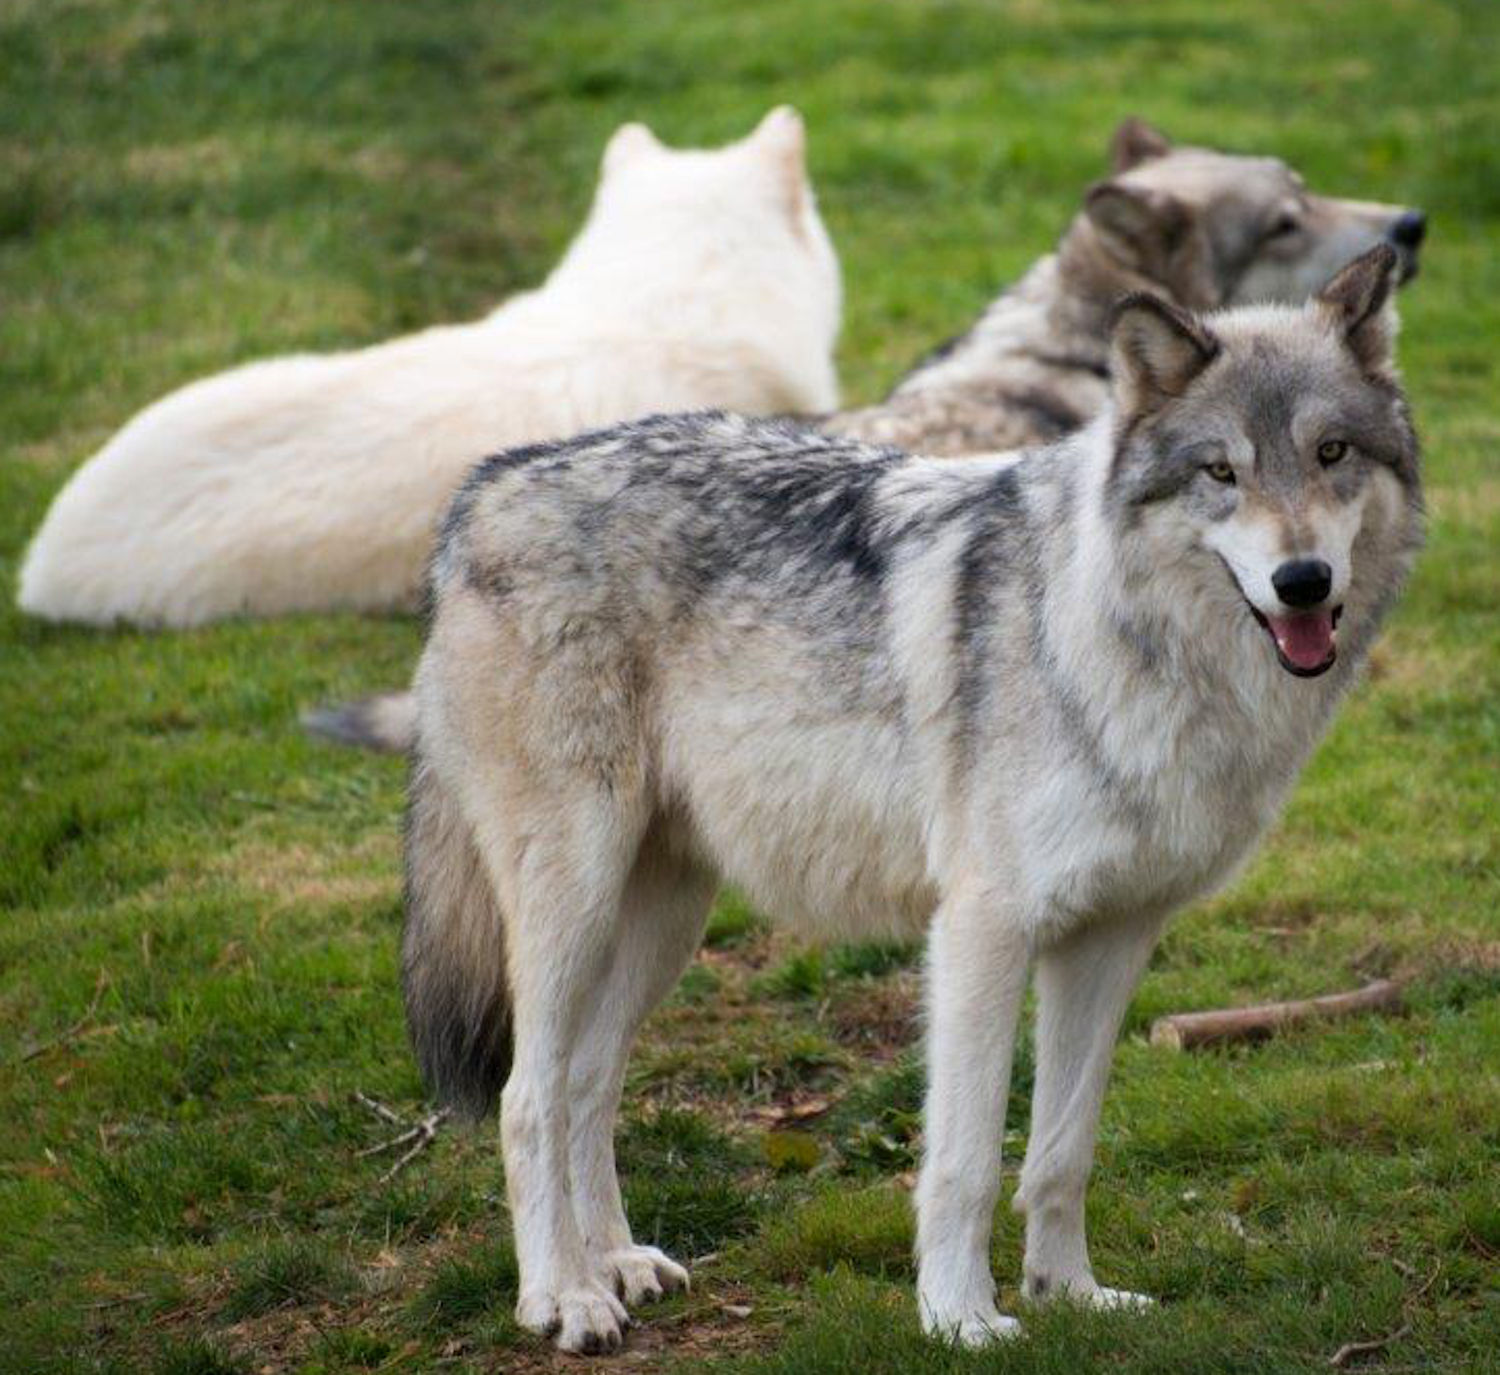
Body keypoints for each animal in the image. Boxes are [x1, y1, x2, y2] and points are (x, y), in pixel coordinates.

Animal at [399, 241, 1416, 1349]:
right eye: (1221, 473)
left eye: (1331, 454)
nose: (1304, 580)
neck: (1108, 634)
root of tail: (484, 487)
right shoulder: (981, 928)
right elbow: (964, 1159)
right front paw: (961, 1316)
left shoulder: (1110, 938)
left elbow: (1063, 1149)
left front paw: (1072, 1293)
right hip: (573, 903)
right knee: (525, 1097)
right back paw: (564, 1296)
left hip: (663, 918)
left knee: (588, 1082)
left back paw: (618, 1262)